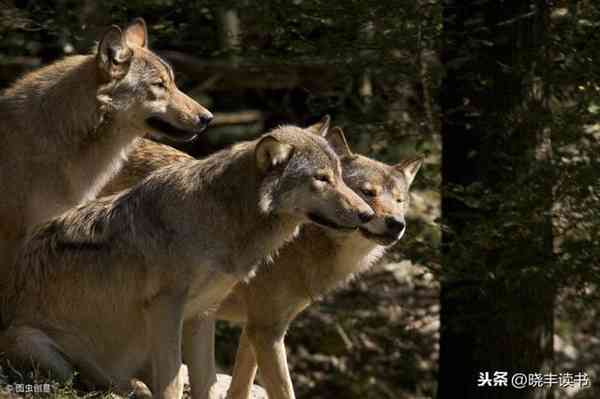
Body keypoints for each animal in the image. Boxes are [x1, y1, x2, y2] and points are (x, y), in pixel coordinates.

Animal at [1, 119, 376, 399]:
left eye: (340, 176)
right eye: (321, 179)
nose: (367, 215)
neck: (222, 219)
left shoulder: (202, 313)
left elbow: (203, 383)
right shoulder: (166, 309)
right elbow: (171, 383)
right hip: (32, 342)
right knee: (86, 381)